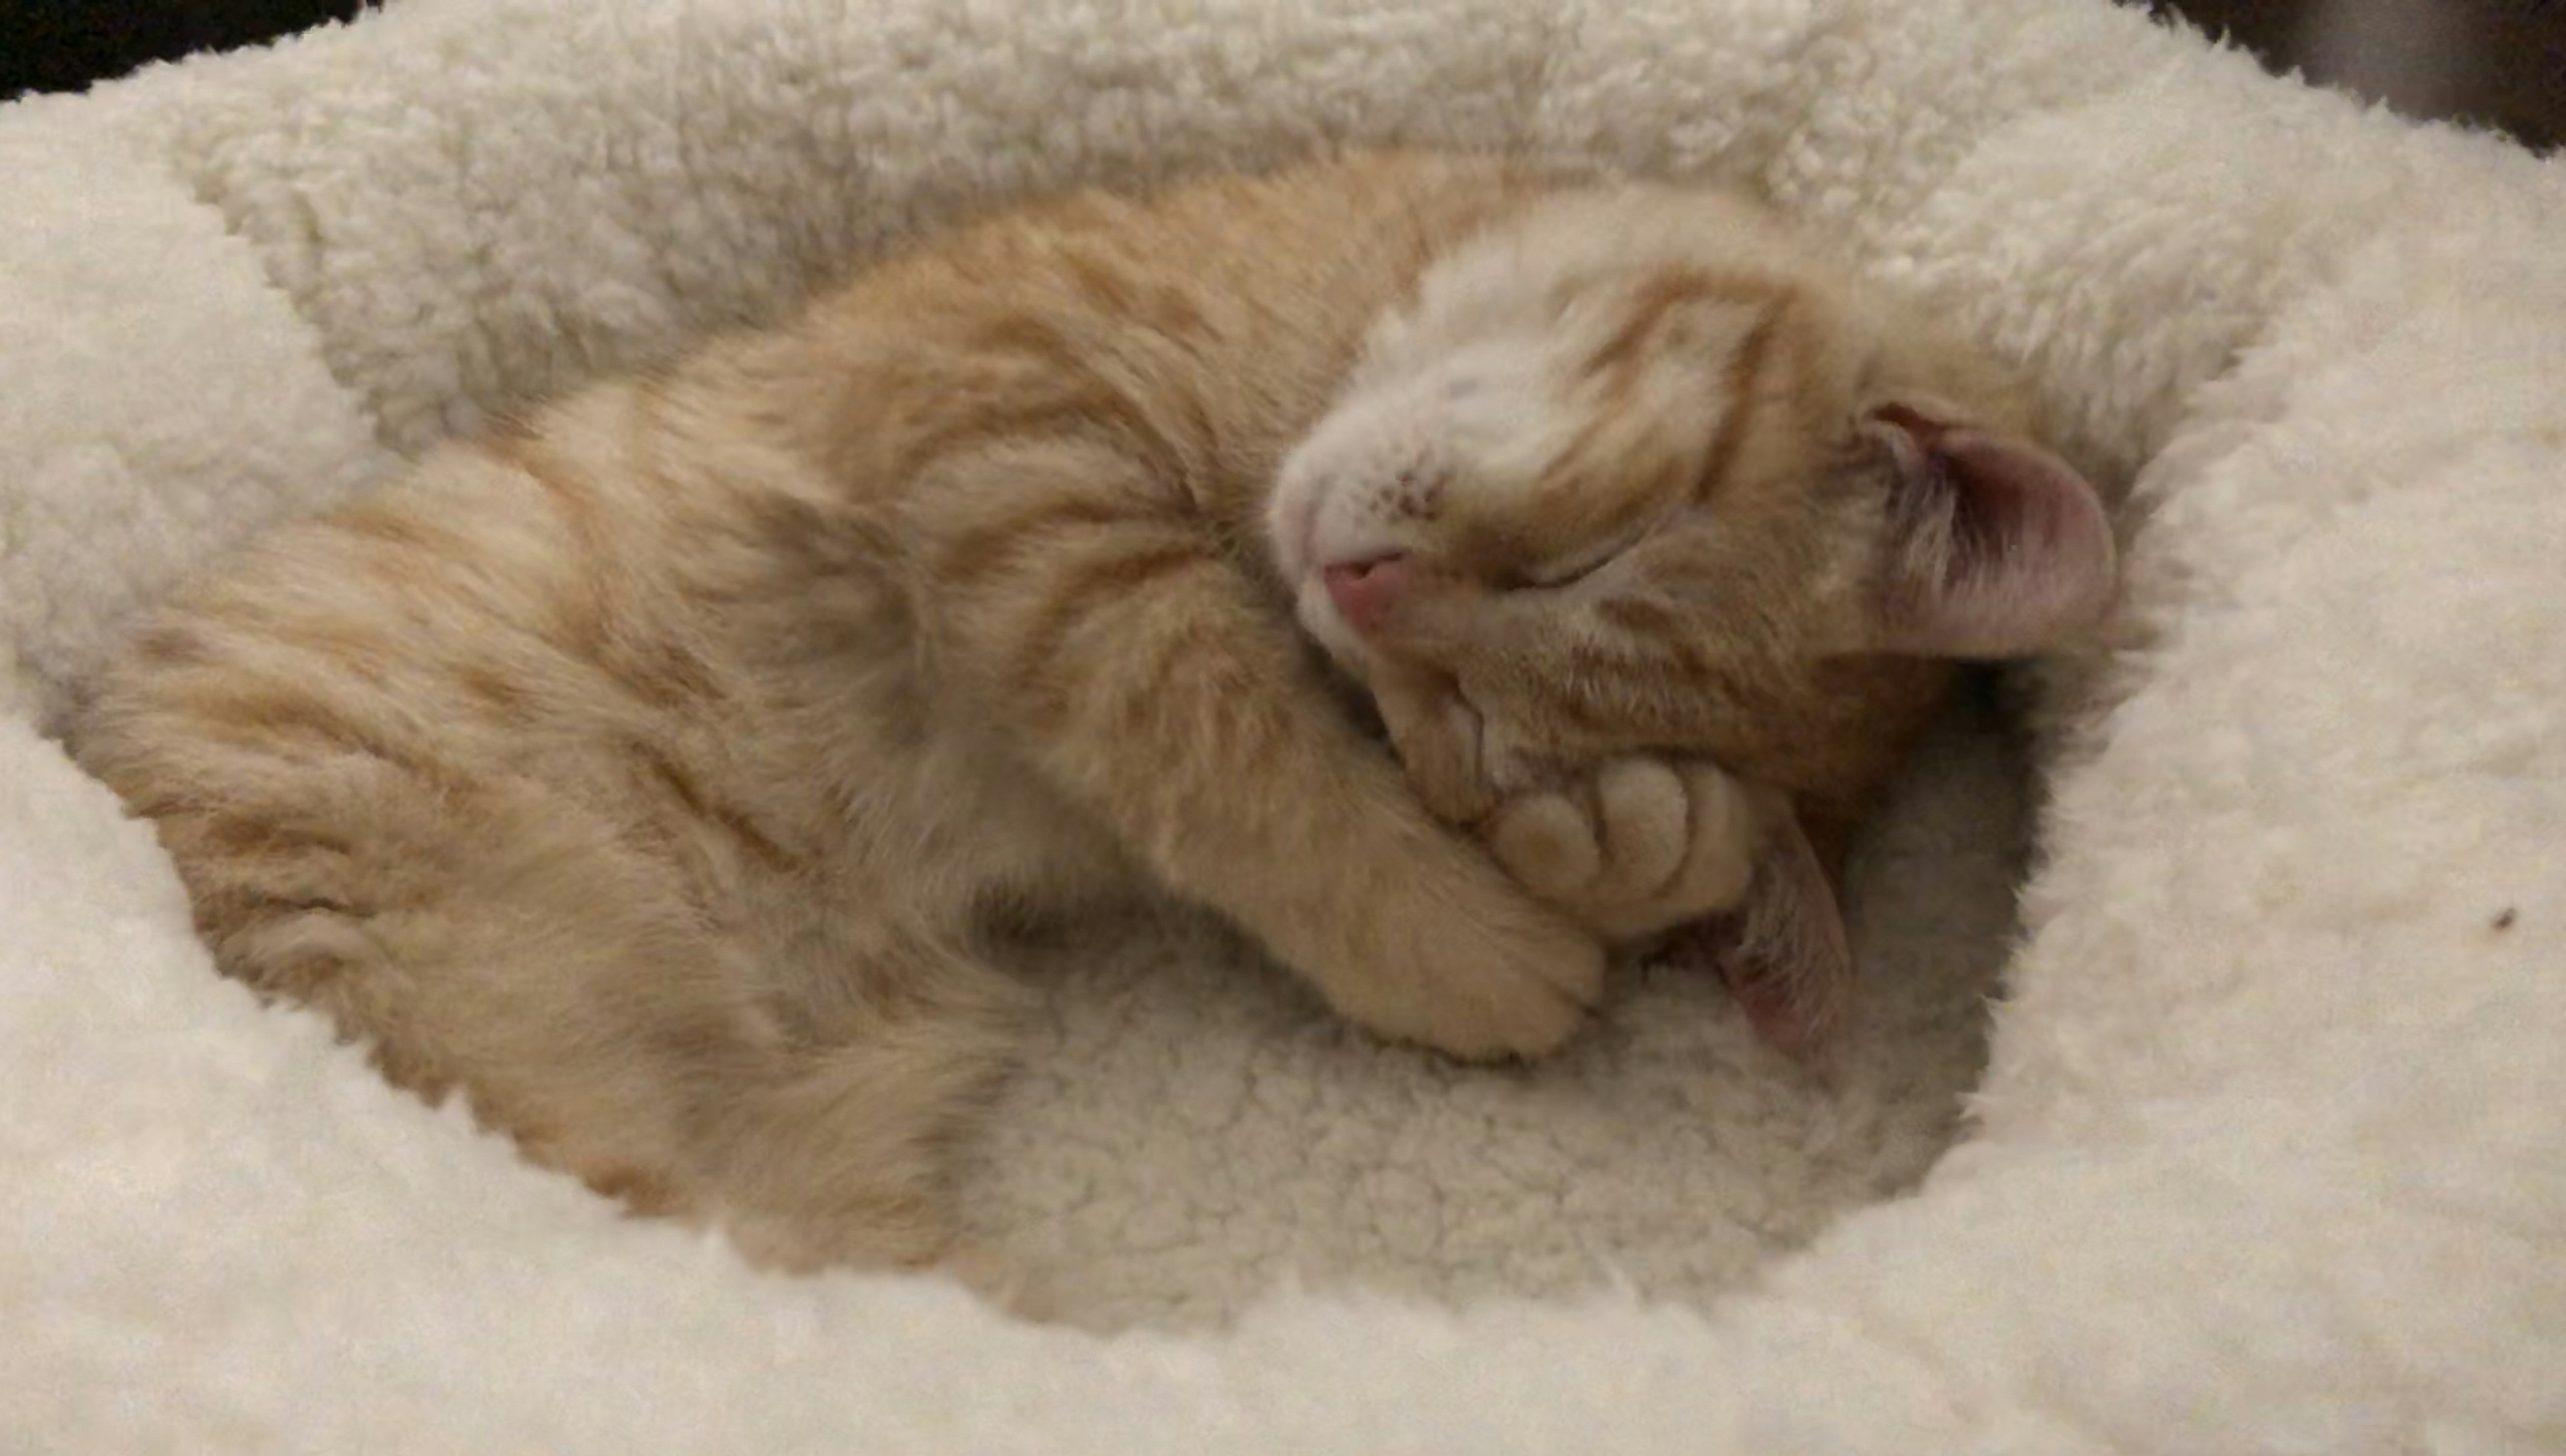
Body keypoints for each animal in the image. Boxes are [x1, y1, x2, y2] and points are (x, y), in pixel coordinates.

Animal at [70, 150, 2104, 1289]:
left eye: (1492, 732)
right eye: (1593, 550)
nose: (1365, 588)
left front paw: (1627, 851)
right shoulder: (1012, 445)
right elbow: (1220, 724)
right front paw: (1478, 947)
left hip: (788, 1221)